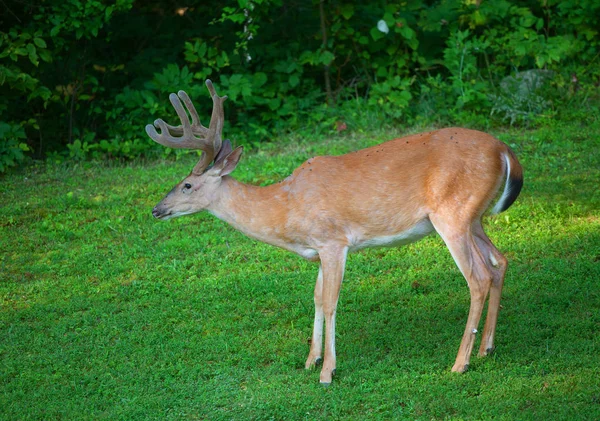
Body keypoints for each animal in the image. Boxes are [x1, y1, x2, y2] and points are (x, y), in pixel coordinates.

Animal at [145, 78, 520, 384]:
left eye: (187, 185)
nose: (156, 209)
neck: (286, 207)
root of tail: (505, 150)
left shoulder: (333, 241)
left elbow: (329, 302)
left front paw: (327, 371)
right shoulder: (319, 250)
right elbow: (315, 296)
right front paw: (311, 359)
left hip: (452, 214)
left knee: (478, 277)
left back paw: (460, 363)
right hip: (474, 217)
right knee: (499, 262)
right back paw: (486, 348)